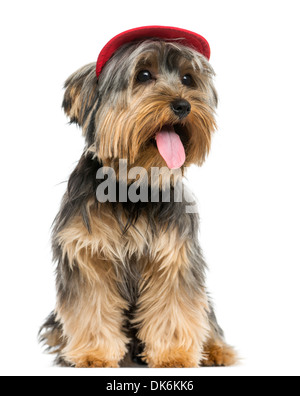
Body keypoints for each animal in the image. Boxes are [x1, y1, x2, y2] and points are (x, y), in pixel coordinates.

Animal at [39, 25, 237, 368]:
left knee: (207, 319)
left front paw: (173, 355)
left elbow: (174, 308)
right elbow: (92, 306)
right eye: (143, 75)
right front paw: (94, 354)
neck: (132, 184)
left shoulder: (173, 254)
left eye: (188, 79)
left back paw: (216, 351)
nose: (183, 105)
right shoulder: (87, 254)